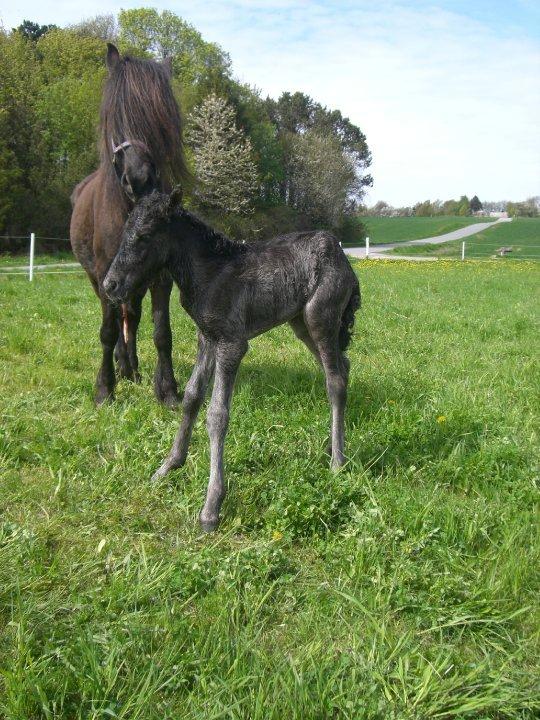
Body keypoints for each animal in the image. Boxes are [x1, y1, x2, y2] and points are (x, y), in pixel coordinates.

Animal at [69, 43, 188, 404]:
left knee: (131, 317)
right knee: (119, 320)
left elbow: (162, 332)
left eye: (158, 119)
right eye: (116, 115)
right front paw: (104, 389)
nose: (138, 179)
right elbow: (108, 331)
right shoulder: (106, 273)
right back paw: (122, 368)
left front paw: (168, 390)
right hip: (99, 279)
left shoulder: (161, 276)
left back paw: (132, 368)